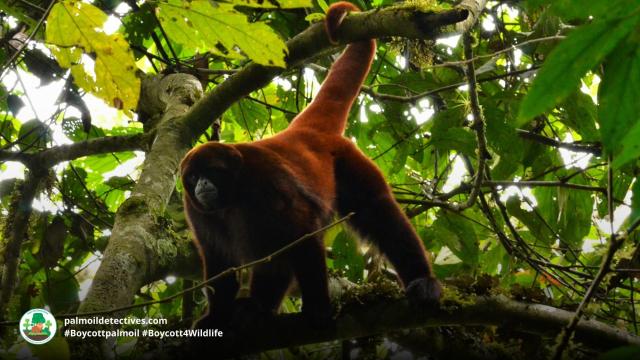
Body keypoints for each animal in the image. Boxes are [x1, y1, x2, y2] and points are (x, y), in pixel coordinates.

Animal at [180, 1, 440, 330]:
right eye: (192, 177)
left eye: (211, 171)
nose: (201, 184)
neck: (234, 194)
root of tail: (303, 132)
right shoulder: (195, 211)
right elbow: (218, 263)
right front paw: (217, 316)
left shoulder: (263, 180)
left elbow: (301, 231)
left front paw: (318, 307)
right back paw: (256, 308)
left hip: (347, 161)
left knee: (378, 211)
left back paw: (423, 281)